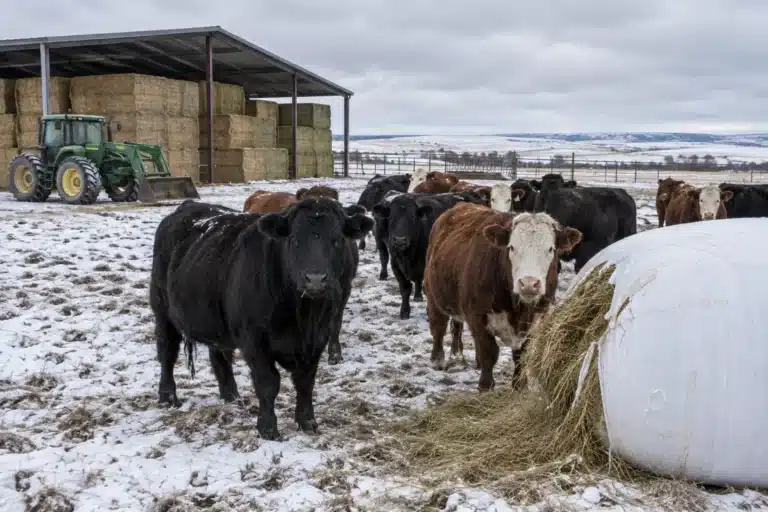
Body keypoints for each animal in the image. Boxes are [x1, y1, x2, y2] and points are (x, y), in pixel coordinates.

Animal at [149, 198, 373, 440]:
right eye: (294, 240)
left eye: (337, 240)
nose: (315, 279)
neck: (303, 318)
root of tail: (187, 206)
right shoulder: (254, 340)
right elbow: (268, 383)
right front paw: (268, 427)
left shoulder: (318, 339)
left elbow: (306, 382)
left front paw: (307, 422)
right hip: (162, 310)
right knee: (167, 352)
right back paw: (168, 396)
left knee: (219, 355)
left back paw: (231, 396)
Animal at [423, 203, 582, 391]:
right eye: (512, 247)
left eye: (550, 249)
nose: (528, 283)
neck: (519, 308)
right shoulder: (477, 315)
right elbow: (489, 352)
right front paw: (485, 386)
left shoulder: (537, 319)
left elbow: (522, 354)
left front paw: (519, 386)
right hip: (433, 296)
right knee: (438, 327)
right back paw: (437, 359)